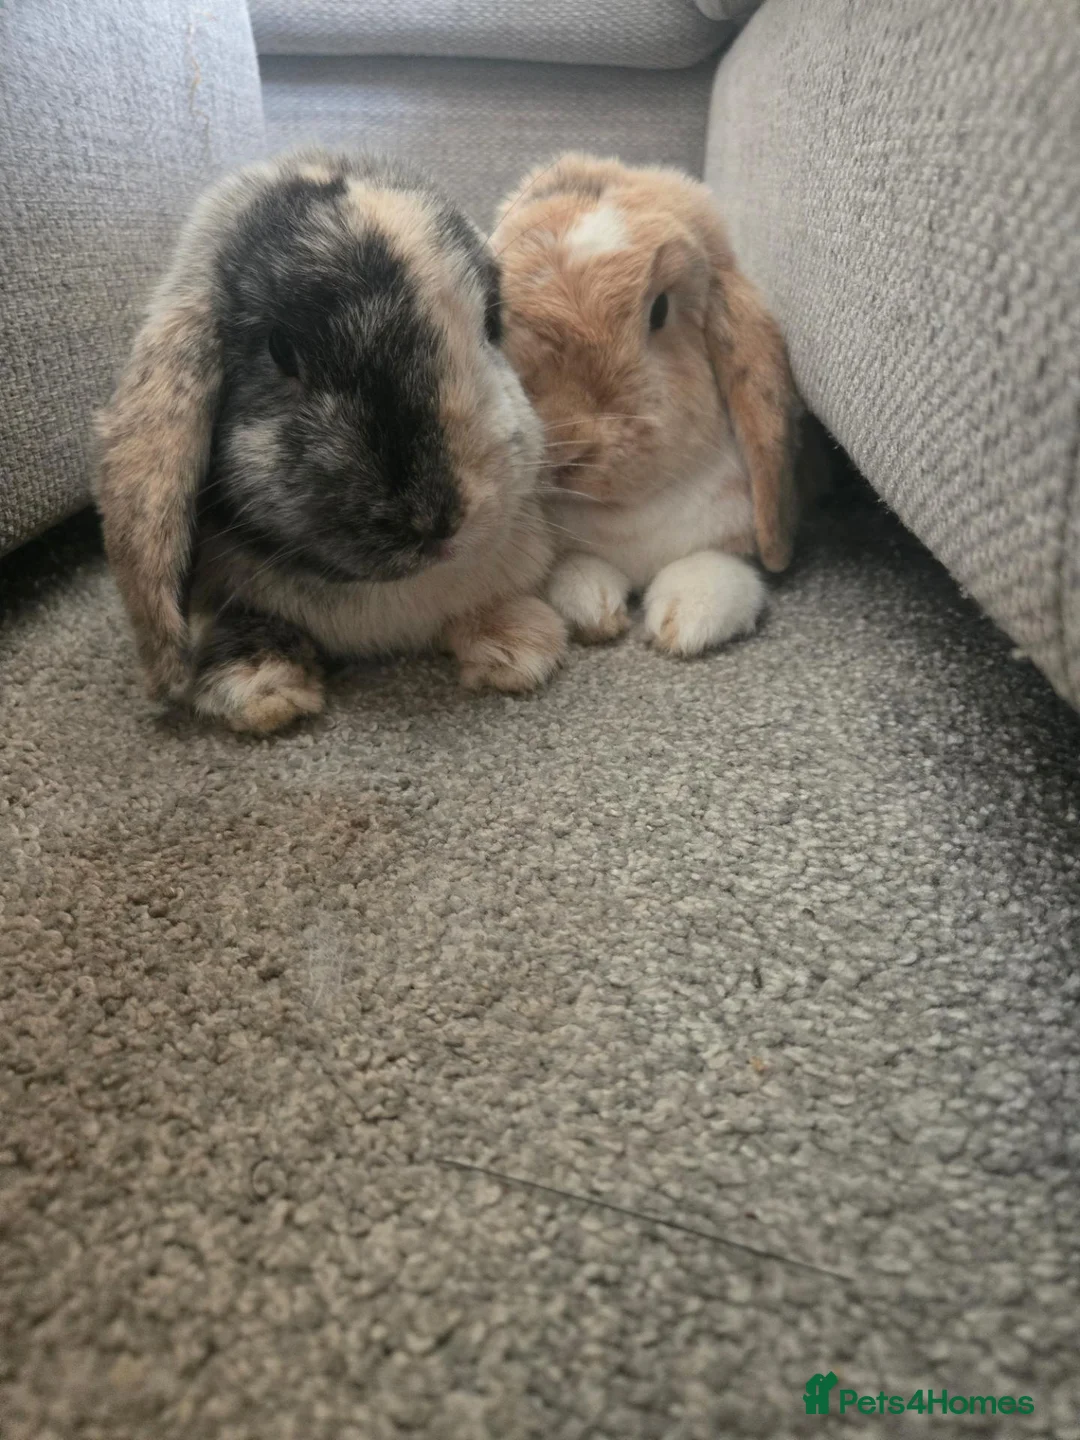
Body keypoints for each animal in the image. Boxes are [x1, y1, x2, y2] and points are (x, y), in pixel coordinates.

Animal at [491, 152, 805, 657]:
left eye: (659, 310)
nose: (563, 447)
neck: (628, 510)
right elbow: (574, 570)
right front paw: (592, 608)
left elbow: (714, 567)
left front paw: (688, 620)